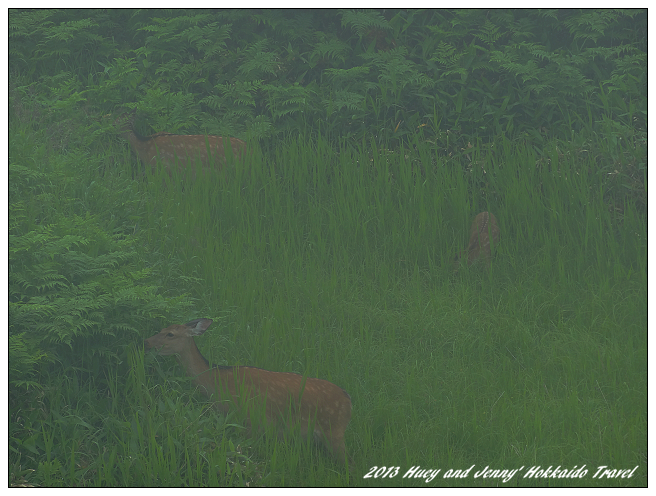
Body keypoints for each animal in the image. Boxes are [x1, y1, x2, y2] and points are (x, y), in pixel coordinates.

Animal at [144, 320, 354, 466]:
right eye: (162, 329)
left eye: (170, 334)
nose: (146, 342)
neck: (216, 384)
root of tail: (348, 400)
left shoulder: (248, 421)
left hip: (334, 432)